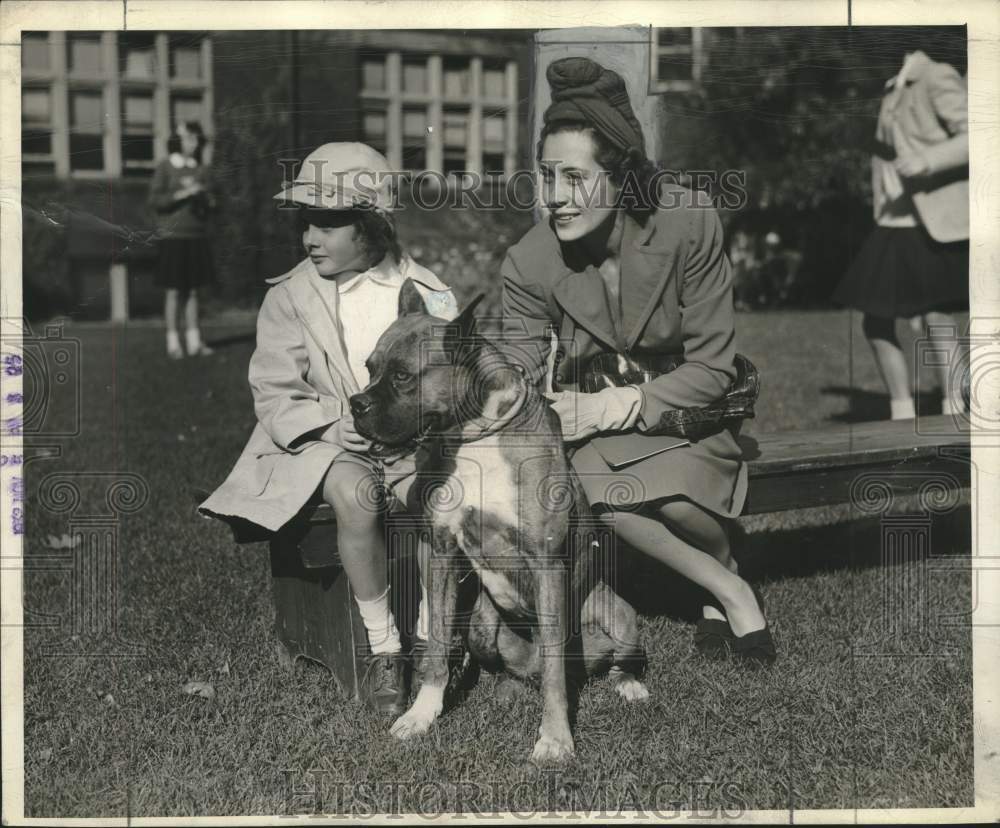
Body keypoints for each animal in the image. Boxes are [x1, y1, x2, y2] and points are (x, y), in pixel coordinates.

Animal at [352, 278, 648, 764]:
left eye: (402, 377)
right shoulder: (442, 553)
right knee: (516, 666)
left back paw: (629, 684)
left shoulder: (547, 565)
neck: (472, 437)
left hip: (618, 614)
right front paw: (422, 715)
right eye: (369, 368)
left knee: (600, 661)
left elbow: (554, 672)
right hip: (481, 626)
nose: (355, 404)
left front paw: (555, 738)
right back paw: (509, 688)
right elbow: (436, 648)